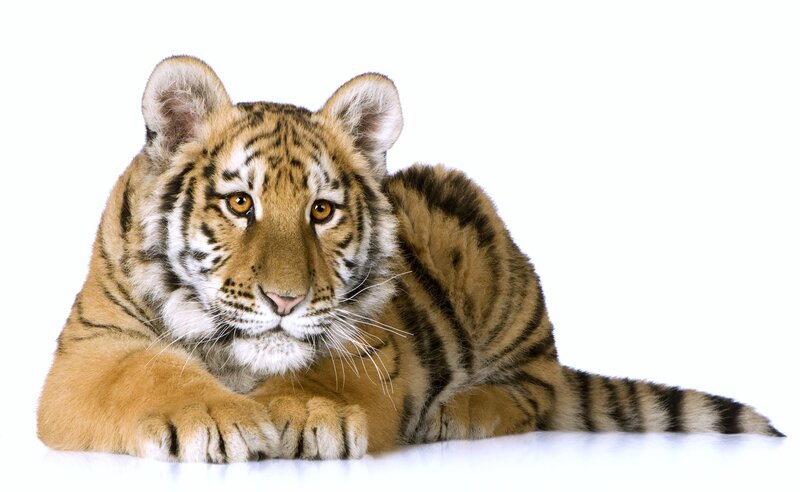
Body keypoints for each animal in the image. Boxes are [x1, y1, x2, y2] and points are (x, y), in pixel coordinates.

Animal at [37, 55, 783, 462]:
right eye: (240, 203)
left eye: (321, 211)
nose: (285, 301)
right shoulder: (89, 352)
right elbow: (147, 373)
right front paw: (217, 417)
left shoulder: (376, 346)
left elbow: (324, 372)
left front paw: (304, 413)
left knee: (538, 388)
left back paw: (461, 411)